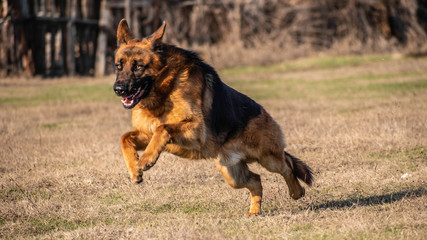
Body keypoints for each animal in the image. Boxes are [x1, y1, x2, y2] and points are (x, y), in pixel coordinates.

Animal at [114, 19, 314, 216]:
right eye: (119, 66)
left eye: (138, 66)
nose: (118, 89)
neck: (165, 88)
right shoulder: (148, 133)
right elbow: (125, 137)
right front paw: (134, 169)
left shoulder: (195, 131)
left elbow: (163, 128)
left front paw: (146, 160)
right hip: (231, 173)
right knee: (256, 179)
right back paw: (254, 211)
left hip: (269, 158)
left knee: (288, 165)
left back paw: (296, 192)